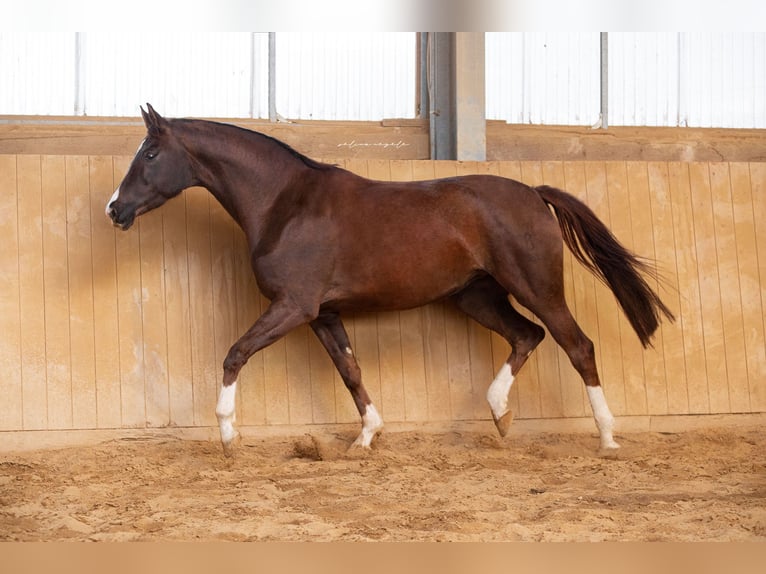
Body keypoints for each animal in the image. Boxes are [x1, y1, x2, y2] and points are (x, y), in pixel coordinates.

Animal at [107, 104, 674, 457]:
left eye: (150, 154)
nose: (114, 209)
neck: (285, 205)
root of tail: (534, 193)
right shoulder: (324, 315)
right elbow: (350, 371)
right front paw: (366, 438)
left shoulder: (294, 307)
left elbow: (235, 353)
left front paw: (227, 436)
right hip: (477, 297)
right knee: (526, 336)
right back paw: (500, 415)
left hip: (537, 288)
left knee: (577, 345)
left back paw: (607, 439)